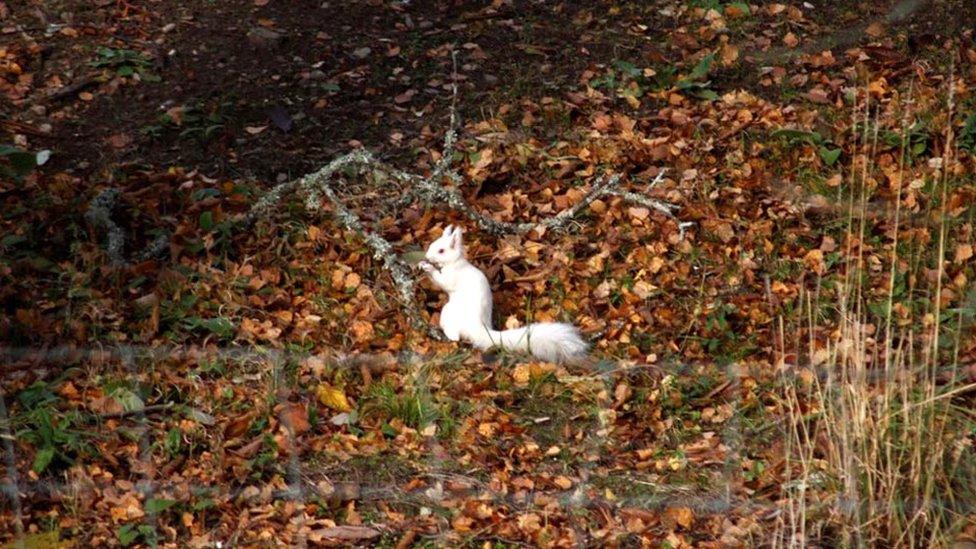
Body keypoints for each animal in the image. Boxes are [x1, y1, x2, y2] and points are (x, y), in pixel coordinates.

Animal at [418, 225, 588, 362]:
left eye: (441, 250)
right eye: (432, 244)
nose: (426, 257)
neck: (455, 262)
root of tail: (478, 328)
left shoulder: (452, 276)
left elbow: (442, 282)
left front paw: (428, 267)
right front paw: (422, 263)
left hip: (449, 312)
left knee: (455, 335)